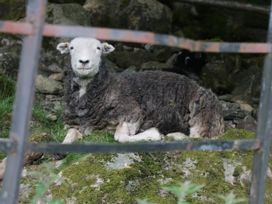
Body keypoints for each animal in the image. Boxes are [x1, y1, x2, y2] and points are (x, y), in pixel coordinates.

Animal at [56, 37, 224, 143]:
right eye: (71, 48)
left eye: (99, 48)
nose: (84, 62)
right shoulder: (75, 125)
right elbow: (68, 136)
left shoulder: (132, 112)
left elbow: (121, 138)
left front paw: (154, 134)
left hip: (203, 114)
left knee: (199, 137)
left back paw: (174, 136)